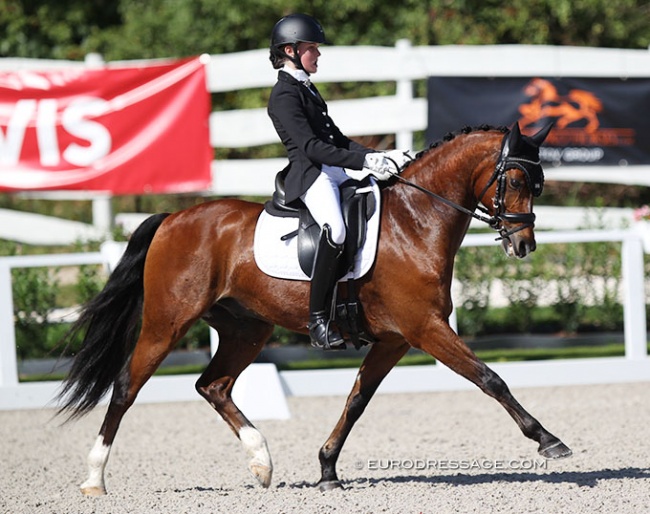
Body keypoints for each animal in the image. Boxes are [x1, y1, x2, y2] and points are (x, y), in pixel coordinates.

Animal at [56, 122, 572, 496]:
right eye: (517, 179)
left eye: (539, 184)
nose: (523, 245)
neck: (416, 221)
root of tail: (173, 219)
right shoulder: (426, 329)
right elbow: (490, 378)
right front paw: (549, 440)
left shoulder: (394, 339)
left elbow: (357, 400)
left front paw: (327, 470)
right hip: (167, 323)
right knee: (127, 387)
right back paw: (94, 479)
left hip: (247, 329)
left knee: (213, 385)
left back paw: (262, 463)